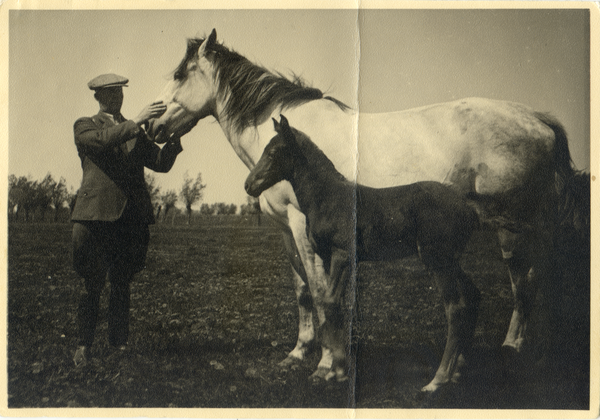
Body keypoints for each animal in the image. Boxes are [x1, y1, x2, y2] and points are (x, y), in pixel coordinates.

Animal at [145, 30, 576, 394]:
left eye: (181, 74)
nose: (151, 125)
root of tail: (538, 119)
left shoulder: (303, 228)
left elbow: (322, 294)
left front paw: (326, 364)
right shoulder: (286, 231)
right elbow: (303, 292)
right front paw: (298, 354)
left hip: (514, 228)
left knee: (524, 283)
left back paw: (509, 350)